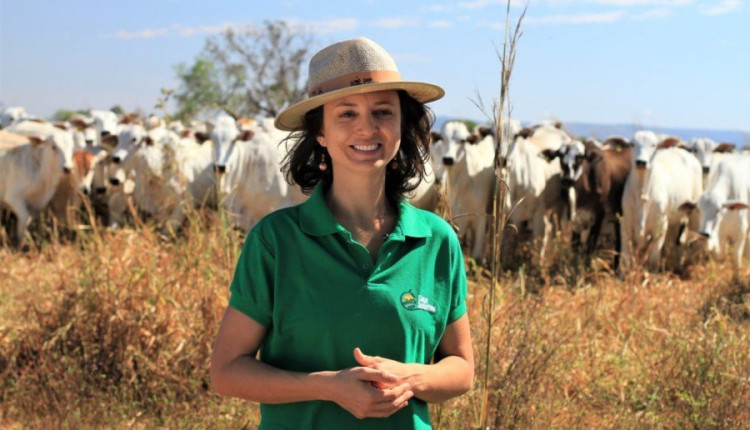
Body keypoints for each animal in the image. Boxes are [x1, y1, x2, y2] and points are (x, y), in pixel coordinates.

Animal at [620, 133, 708, 270]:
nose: (641, 162)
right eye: (632, 144)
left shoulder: (660, 228)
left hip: (694, 214)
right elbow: (625, 259)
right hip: (675, 218)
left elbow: (653, 260)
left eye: (653, 145)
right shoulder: (626, 227)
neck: (643, 194)